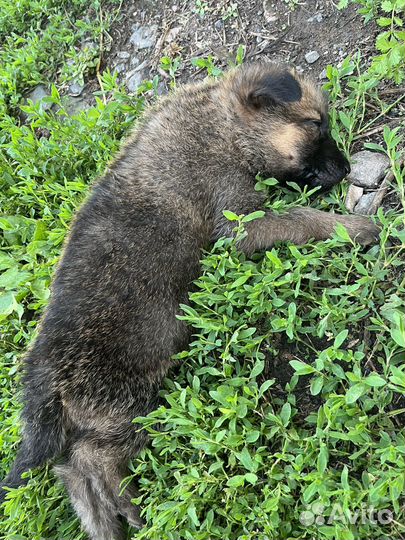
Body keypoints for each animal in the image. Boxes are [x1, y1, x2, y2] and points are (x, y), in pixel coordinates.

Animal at [0, 62, 378, 536]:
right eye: (314, 124)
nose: (347, 169)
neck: (223, 123)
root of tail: (44, 383)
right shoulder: (240, 220)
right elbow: (302, 217)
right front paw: (354, 227)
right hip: (125, 401)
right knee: (92, 459)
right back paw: (131, 506)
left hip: (100, 415)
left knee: (75, 475)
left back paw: (112, 522)